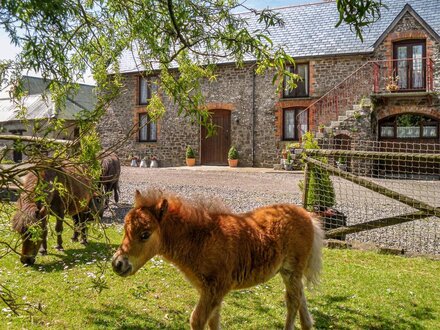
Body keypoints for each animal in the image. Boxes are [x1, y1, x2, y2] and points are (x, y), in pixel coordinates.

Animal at [111, 189, 322, 328]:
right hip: (288, 273)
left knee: (293, 301)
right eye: (125, 229)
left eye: (145, 234)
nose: (117, 264)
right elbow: (213, 322)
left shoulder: (215, 289)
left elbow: (197, 320)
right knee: (300, 297)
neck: (200, 241)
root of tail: (306, 214)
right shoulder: (209, 292)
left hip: (292, 271)